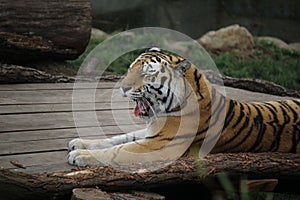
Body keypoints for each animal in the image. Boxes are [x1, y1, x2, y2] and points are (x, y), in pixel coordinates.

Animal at [68, 47, 300, 167]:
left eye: (147, 74)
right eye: (130, 69)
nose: (123, 88)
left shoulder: (158, 145)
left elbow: (117, 150)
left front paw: (80, 156)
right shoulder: (151, 133)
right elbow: (116, 139)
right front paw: (79, 143)